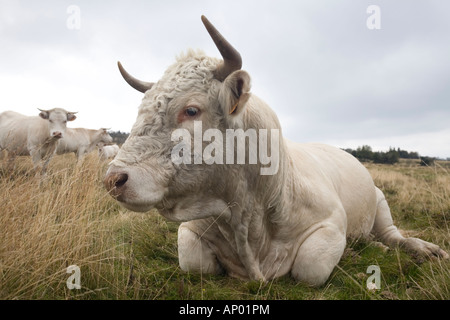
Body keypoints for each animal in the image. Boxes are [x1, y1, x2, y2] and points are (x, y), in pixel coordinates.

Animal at [103, 16, 448, 286]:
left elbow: (311, 267)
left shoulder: (330, 223)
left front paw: (349, 251)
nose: (113, 179)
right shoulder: (191, 231)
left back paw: (417, 248)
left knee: (392, 235)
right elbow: (194, 262)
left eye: (191, 110)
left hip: (379, 201)